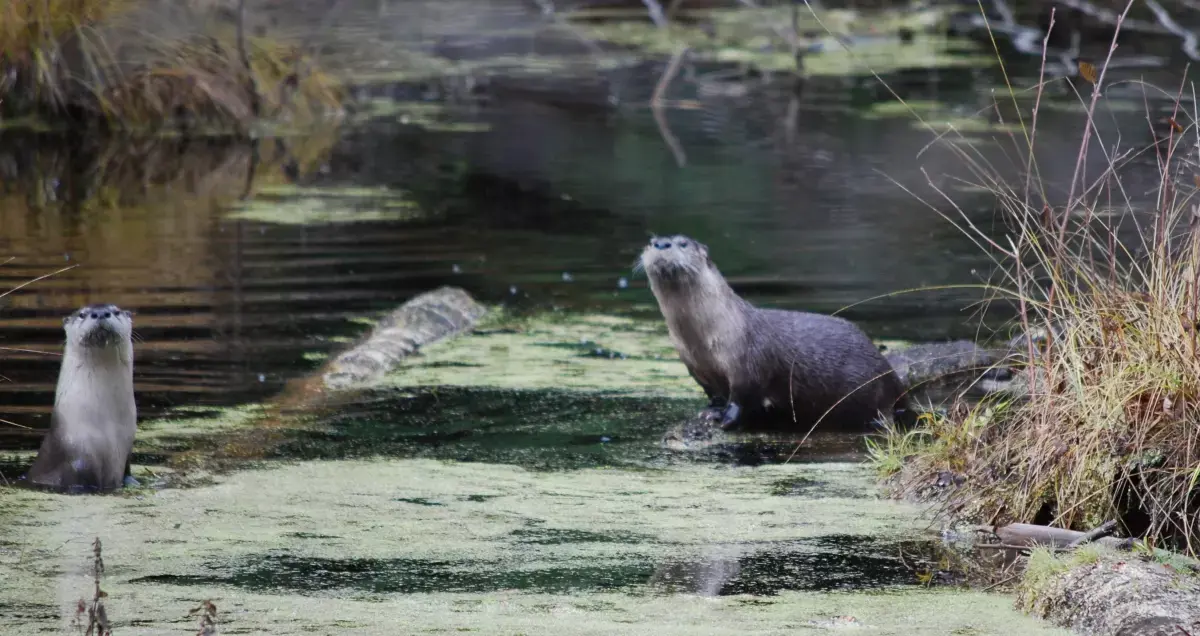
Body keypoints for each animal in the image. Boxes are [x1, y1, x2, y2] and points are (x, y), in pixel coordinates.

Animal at [638, 235, 906, 432]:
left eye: (682, 243)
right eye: (651, 241)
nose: (661, 244)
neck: (703, 340)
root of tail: (890, 374)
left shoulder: (747, 362)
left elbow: (742, 398)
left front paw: (724, 419)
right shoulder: (696, 368)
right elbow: (715, 395)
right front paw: (710, 411)